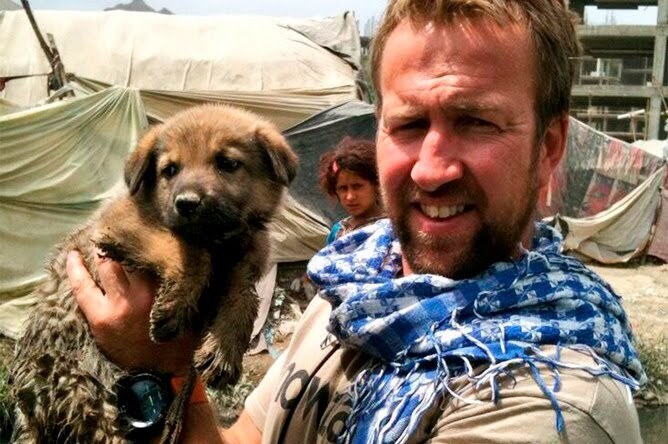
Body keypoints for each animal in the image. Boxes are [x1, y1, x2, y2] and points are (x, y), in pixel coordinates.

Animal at [9, 104, 298, 443]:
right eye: (170, 170)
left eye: (227, 164)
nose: (186, 204)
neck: (219, 241)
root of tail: (29, 398)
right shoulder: (121, 225)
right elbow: (186, 249)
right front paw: (175, 303)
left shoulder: (244, 266)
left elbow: (245, 300)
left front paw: (223, 349)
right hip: (88, 390)